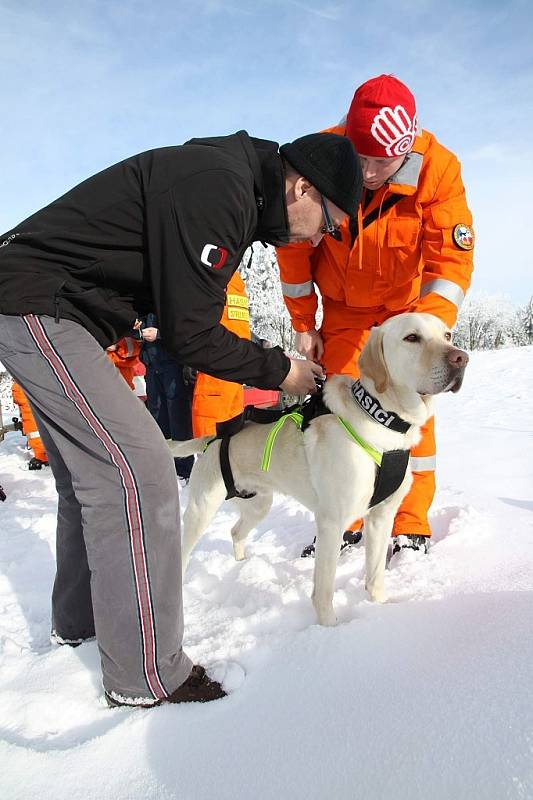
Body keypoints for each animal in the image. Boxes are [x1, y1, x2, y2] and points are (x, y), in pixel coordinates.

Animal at [170, 312, 466, 624]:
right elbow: (323, 592)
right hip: (202, 509)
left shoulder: (381, 517)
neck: (383, 421)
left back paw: (242, 566)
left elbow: (375, 577)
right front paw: (330, 629)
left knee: (236, 532)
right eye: (412, 337)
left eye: (447, 335)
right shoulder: (331, 522)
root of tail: (213, 438)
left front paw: (379, 609)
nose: (461, 358)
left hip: (259, 504)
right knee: (184, 552)